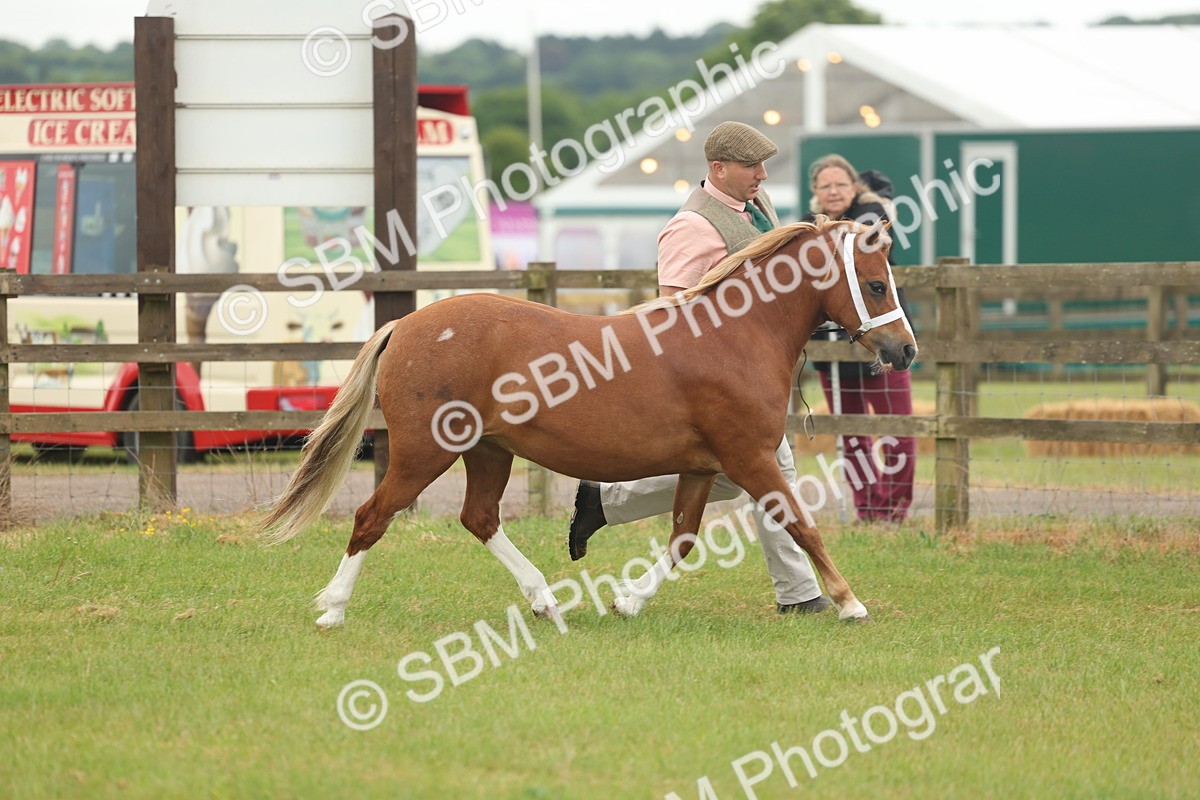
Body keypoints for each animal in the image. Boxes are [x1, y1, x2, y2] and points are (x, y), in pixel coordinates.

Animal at [258, 216, 917, 627]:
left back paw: (545, 601)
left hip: (489, 451)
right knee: (373, 517)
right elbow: (803, 526)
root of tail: (405, 326)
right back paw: (333, 608)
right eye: (876, 283)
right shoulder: (750, 458)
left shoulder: (705, 467)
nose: (905, 351)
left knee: (480, 518)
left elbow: (681, 538)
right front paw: (850, 603)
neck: (732, 336)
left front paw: (628, 603)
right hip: (425, 453)